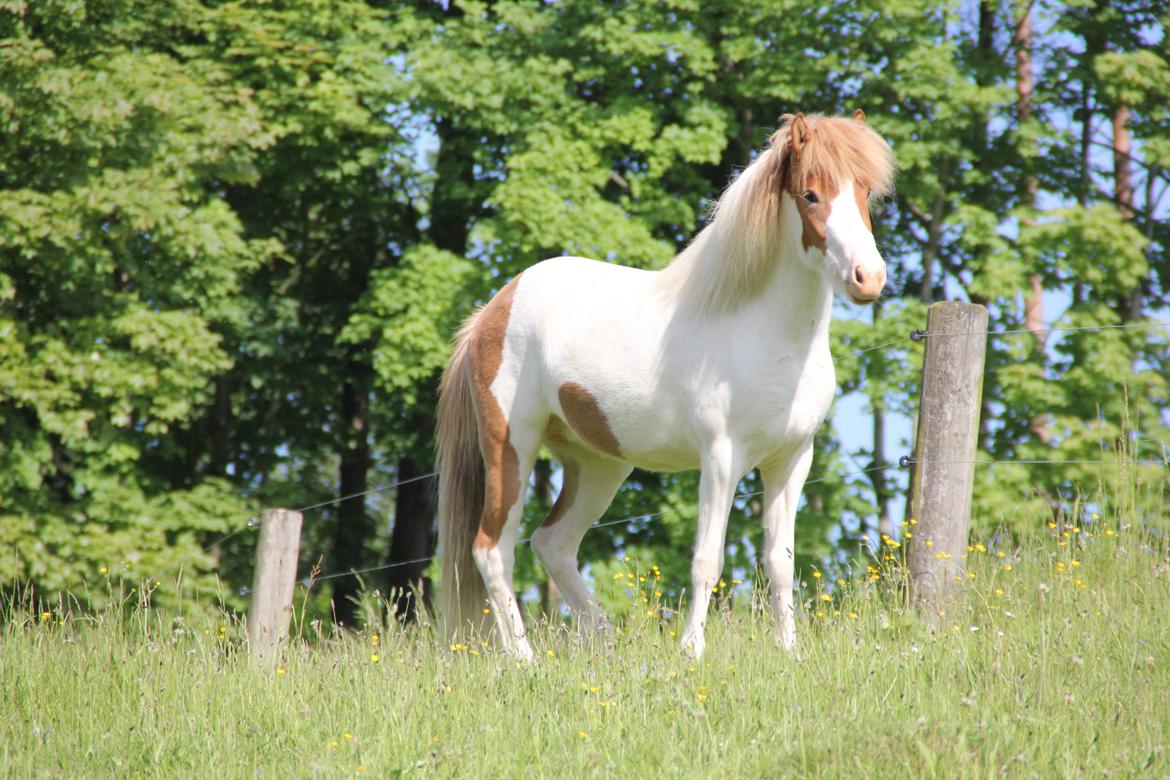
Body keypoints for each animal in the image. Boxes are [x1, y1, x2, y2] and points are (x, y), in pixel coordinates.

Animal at [439, 111, 893, 659]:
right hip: (511, 445)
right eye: (810, 194)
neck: (766, 335)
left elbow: (780, 562)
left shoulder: (791, 460)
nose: (868, 278)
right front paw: (692, 650)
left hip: (598, 464)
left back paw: (607, 644)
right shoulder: (720, 458)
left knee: (553, 544)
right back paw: (525, 659)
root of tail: (492, 310)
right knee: (493, 549)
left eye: (865, 191)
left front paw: (789, 651)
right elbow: (707, 560)